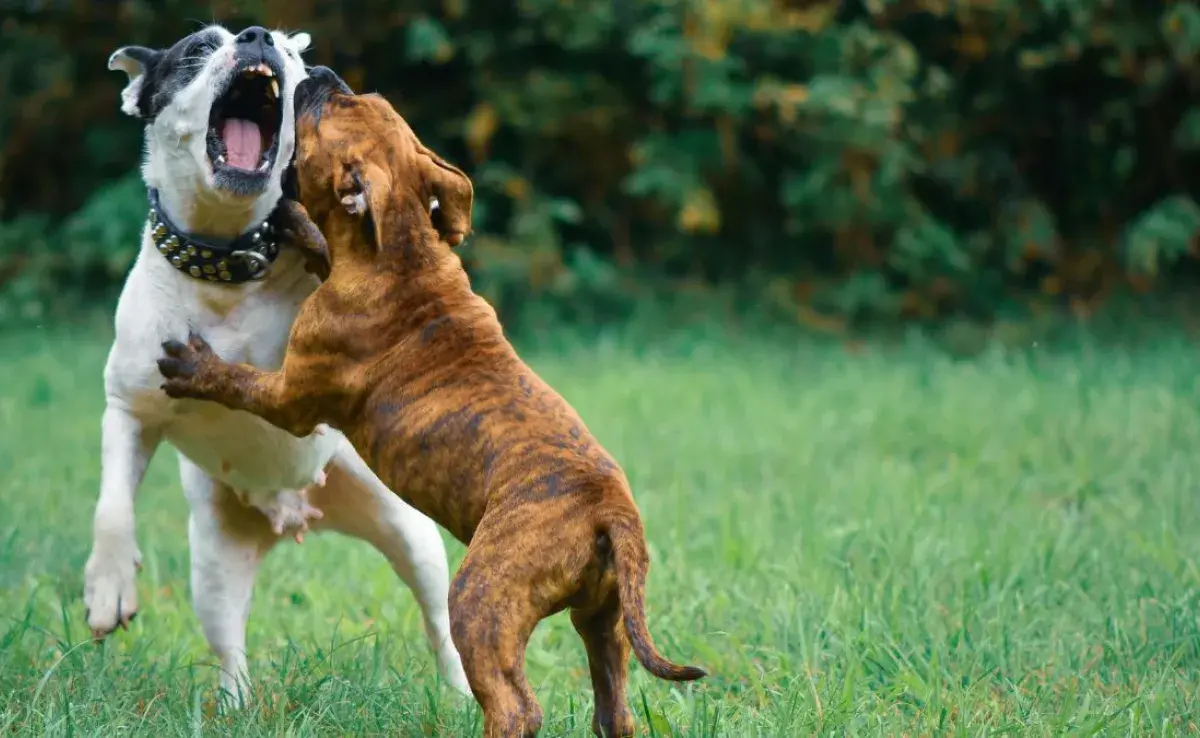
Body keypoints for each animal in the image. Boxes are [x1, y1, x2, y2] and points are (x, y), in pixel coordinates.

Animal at [87, 23, 468, 705]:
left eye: (292, 54)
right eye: (196, 50)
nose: (257, 36)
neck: (226, 261)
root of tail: (295, 513)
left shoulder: (300, 380)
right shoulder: (128, 408)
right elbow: (112, 506)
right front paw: (109, 586)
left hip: (408, 531)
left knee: (440, 621)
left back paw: (459, 694)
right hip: (214, 561)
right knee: (228, 644)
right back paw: (236, 705)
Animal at [154, 66, 705, 734]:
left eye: (325, 110)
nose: (322, 73)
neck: (404, 249)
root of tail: (609, 512)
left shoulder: (292, 397)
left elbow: (239, 381)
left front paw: (194, 367)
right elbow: (322, 244)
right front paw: (295, 221)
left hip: (480, 600)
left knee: (517, 705)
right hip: (603, 621)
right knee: (613, 706)